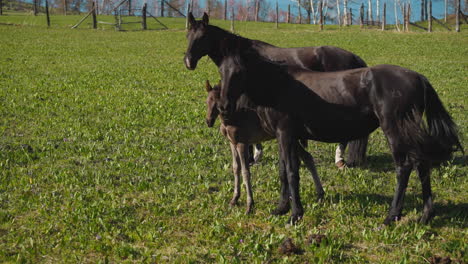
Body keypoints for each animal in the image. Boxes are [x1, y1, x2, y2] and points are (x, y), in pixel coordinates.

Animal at [184, 11, 370, 167]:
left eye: (202, 37)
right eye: (188, 35)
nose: (188, 61)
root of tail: (354, 58)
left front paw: (252, 156)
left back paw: (339, 159)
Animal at [205, 81, 326, 214]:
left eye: (218, 104)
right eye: (207, 101)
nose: (208, 121)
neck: (234, 118)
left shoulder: (242, 144)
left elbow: (245, 172)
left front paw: (249, 205)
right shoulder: (232, 143)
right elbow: (235, 168)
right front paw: (234, 199)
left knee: (307, 157)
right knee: (307, 157)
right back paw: (320, 194)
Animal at [218, 45, 462, 225]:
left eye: (239, 72)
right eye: (221, 71)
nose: (223, 107)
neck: (279, 86)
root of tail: (418, 77)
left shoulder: (285, 134)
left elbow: (291, 171)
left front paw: (295, 215)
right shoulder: (286, 137)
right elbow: (283, 171)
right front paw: (281, 208)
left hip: (394, 130)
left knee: (404, 167)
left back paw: (391, 216)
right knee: (422, 164)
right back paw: (425, 215)